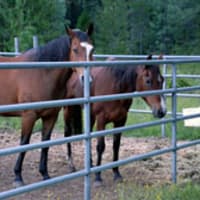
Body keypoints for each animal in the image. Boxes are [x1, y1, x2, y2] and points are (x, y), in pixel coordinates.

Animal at [0, 24, 94, 187]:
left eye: (92, 49)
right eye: (75, 49)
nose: (86, 79)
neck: (41, 73)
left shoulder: (51, 116)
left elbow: (45, 143)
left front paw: (45, 174)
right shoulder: (28, 116)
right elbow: (24, 143)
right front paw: (18, 177)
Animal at [63, 55, 166, 186]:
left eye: (162, 80)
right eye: (148, 81)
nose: (162, 111)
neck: (115, 87)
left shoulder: (120, 120)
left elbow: (116, 145)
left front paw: (116, 173)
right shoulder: (101, 120)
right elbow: (101, 147)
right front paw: (98, 177)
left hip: (90, 114)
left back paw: (90, 163)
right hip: (68, 108)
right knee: (67, 133)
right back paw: (71, 165)